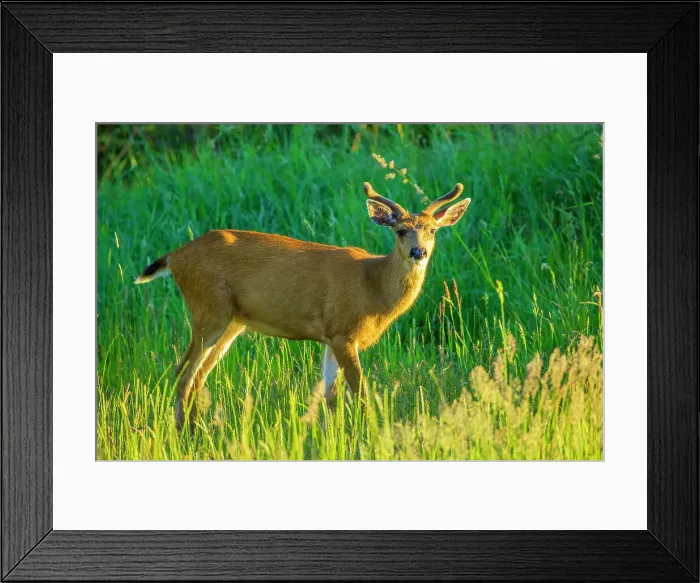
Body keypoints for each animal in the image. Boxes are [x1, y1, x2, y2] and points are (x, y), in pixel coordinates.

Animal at [135, 182, 471, 428]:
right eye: (400, 230)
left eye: (432, 230)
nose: (418, 252)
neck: (373, 287)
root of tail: (175, 257)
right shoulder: (344, 332)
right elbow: (360, 392)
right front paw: (368, 435)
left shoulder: (330, 336)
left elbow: (330, 396)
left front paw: (333, 438)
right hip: (209, 312)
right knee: (183, 374)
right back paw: (185, 434)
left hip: (231, 323)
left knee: (197, 375)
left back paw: (198, 431)